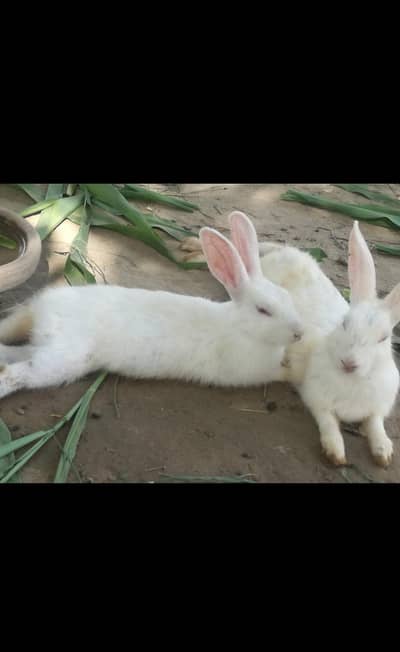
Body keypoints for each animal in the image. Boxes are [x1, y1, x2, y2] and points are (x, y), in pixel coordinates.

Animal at [0, 212, 304, 400]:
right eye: (263, 310)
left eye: (288, 297)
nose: (299, 333)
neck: (241, 329)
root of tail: (41, 313)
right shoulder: (250, 373)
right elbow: (280, 374)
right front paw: (293, 372)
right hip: (60, 361)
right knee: (20, 373)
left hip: (46, 348)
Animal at [259, 221, 400, 468]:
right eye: (345, 322)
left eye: (383, 338)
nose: (348, 363)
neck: (353, 380)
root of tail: (287, 252)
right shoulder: (317, 399)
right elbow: (329, 423)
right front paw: (335, 453)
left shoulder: (378, 407)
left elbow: (376, 425)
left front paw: (383, 453)